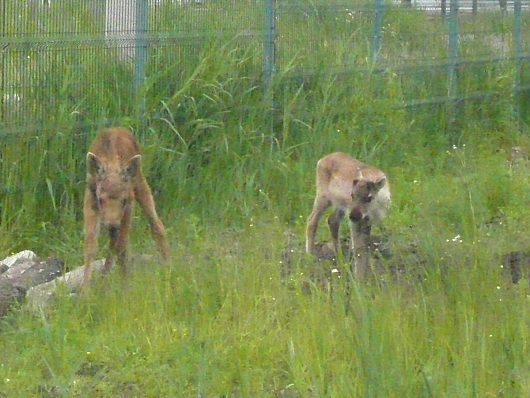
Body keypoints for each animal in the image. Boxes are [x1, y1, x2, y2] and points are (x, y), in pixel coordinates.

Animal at [82, 126, 167, 288]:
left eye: (124, 200)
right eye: (101, 199)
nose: (112, 224)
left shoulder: (130, 202)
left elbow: (122, 246)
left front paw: (126, 285)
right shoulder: (90, 198)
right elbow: (90, 245)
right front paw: (85, 291)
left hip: (139, 182)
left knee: (157, 225)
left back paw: (168, 266)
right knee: (113, 241)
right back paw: (104, 278)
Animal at [306, 152, 388, 280]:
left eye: (369, 197)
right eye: (352, 195)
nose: (353, 216)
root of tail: (322, 159)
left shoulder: (367, 220)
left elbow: (366, 246)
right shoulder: (356, 222)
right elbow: (359, 248)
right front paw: (359, 278)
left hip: (339, 206)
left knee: (332, 221)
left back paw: (339, 257)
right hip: (323, 197)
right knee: (312, 220)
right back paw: (309, 256)